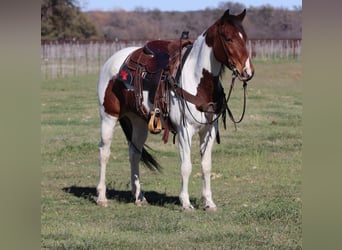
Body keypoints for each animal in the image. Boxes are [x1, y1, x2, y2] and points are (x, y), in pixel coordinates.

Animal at [96, 8, 254, 210]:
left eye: (245, 37)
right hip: (108, 117)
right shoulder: (184, 131)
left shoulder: (209, 130)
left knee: (134, 153)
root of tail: (113, 61)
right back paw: (101, 197)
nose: (247, 72)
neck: (197, 80)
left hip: (139, 122)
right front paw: (185, 202)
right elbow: (186, 166)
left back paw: (139, 196)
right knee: (104, 153)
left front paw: (209, 202)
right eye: (228, 38)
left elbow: (206, 166)